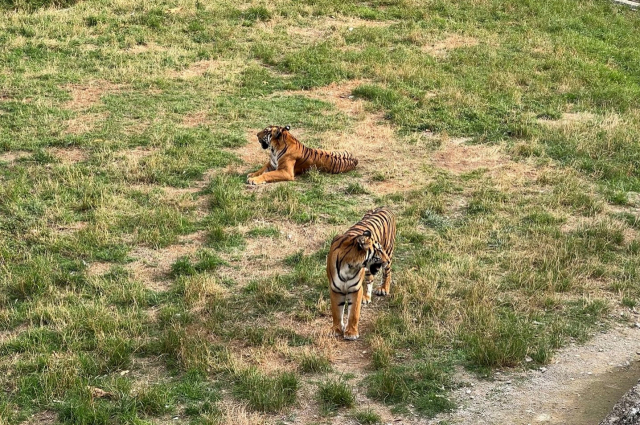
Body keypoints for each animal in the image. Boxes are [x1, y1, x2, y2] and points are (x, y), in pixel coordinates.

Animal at [324, 207, 396, 340]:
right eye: (379, 250)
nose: (387, 259)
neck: (349, 266)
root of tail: (385, 206)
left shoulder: (355, 289)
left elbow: (354, 313)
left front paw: (351, 333)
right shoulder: (335, 289)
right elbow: (336, 312)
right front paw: (336, 330)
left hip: (389, 250)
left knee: (387, 273)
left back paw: (383, 289)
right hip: (371, 269)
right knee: (370, 279)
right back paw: (367, 297)